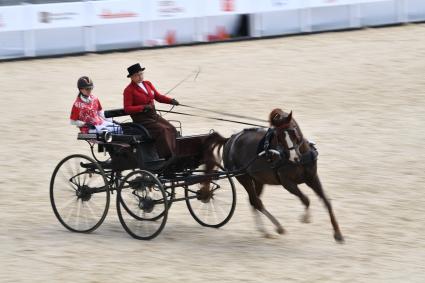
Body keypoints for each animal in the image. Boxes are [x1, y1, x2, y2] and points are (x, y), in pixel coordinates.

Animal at [200, 110, 342, 243]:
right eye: (279, 137)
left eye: (294, 131)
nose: (294, 158)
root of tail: (229, 139)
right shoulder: (287, 183)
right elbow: (306, 199)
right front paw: (305, 218)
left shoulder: (312, 178)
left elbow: (327, 202)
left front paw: (338, 234)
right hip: (243, 177)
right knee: (256, 201)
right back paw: (277, 227)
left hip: (258, 179)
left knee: (253, 201)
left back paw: (265, 231)